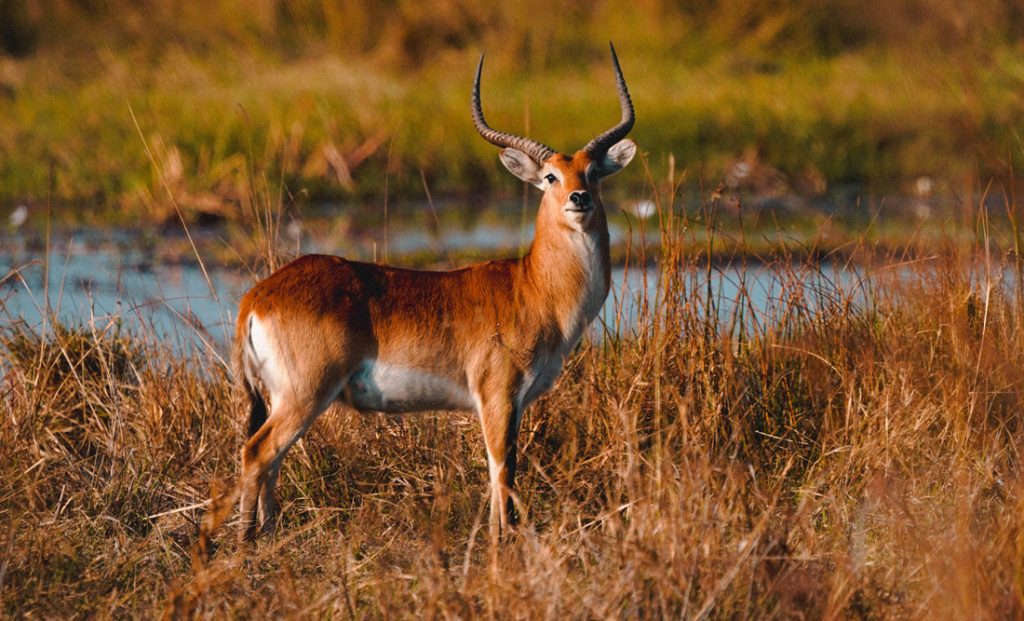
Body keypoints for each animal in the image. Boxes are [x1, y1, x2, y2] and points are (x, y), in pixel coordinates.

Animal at [234, 43, 634, 541]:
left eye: (593, 172)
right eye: (550, 177)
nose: (579, 199)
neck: (532, 288)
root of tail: (257, 297)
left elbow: (500, 471)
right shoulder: (498, 394)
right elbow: (503, 469)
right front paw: (501, 541)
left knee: (270, 461)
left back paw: (267, 536)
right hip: (305, 393)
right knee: (256, 453)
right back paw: (245, 542)